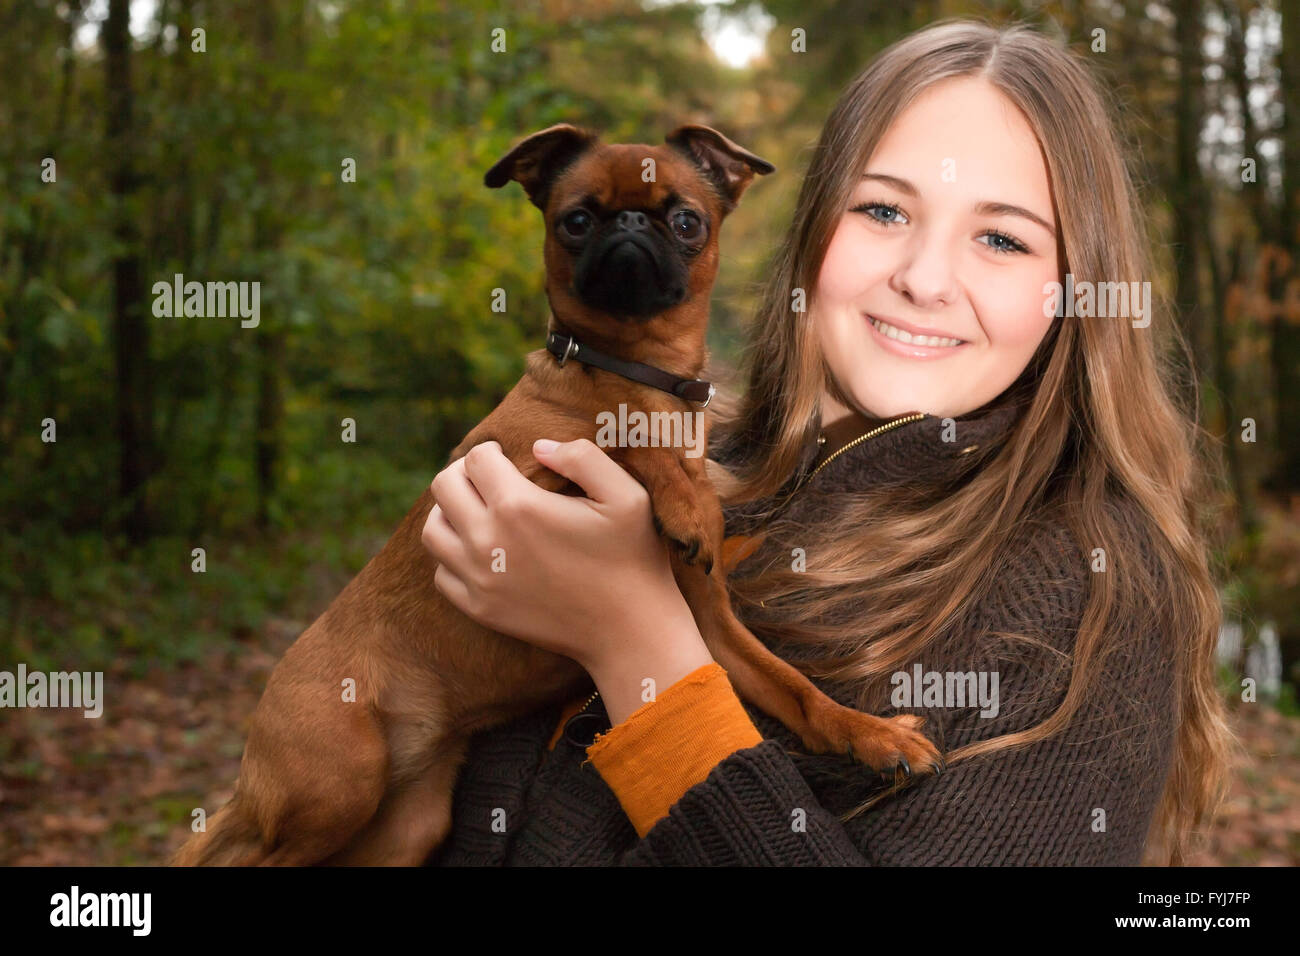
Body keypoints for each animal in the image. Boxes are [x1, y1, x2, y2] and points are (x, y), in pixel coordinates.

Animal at [172, 121, 941, 868]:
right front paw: (685, 496)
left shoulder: (713, 632)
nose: (628, 223)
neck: (638, 369)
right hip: (338, 780)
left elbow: (795, 689)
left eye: (686, 221)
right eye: (575, 220)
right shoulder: (507, 472)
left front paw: (870, 734)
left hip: (400, 830)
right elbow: (619, 434)